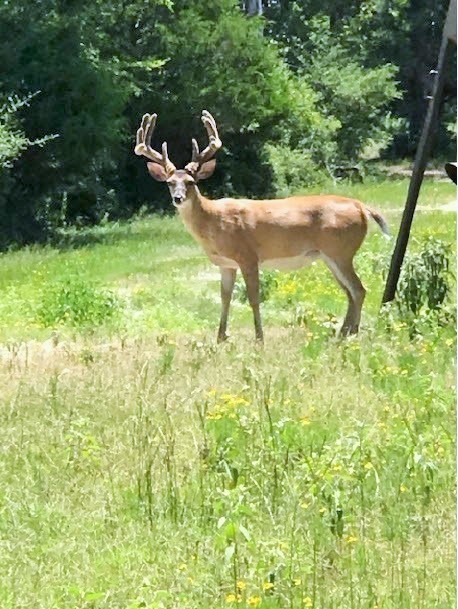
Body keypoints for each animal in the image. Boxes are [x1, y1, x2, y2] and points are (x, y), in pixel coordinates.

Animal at [134, 111, 388, 342]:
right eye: (169, 183)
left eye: (190, 182)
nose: (178, 198)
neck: (213, 222)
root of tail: (361, 207)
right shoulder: (226, 264)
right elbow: (225, 297)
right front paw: (220, 337)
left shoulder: (248, 256)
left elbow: (253, 297)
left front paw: (259, 338)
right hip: (331, 255)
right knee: (350, 291)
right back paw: (344, 333)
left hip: (341, 251)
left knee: (358, 289)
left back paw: (351, 334)